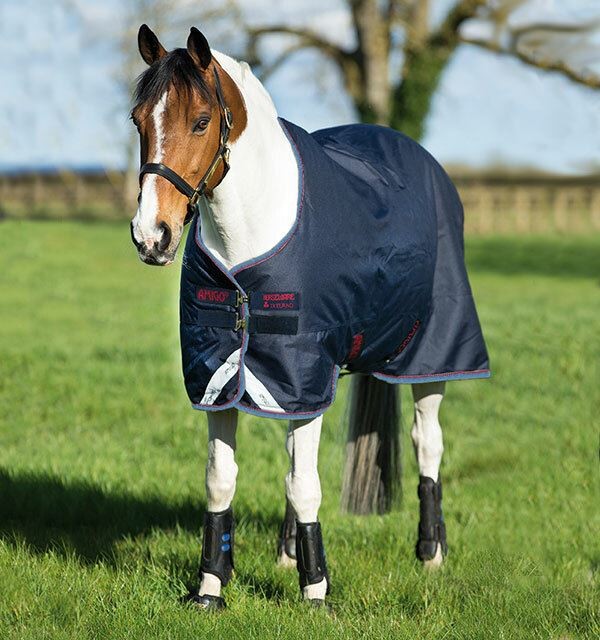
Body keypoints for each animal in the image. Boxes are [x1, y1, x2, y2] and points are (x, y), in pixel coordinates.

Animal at [130, 24, 490, 610]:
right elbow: (221, 478)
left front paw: (316, 589)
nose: (151, 236)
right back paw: (286, 552)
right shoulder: (225, 379)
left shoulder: (307, 374)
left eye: (201, 121)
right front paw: (210, 587)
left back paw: (430, 552)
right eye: (138, 120)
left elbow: (305, 485)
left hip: (430, 355)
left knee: (427, 442)